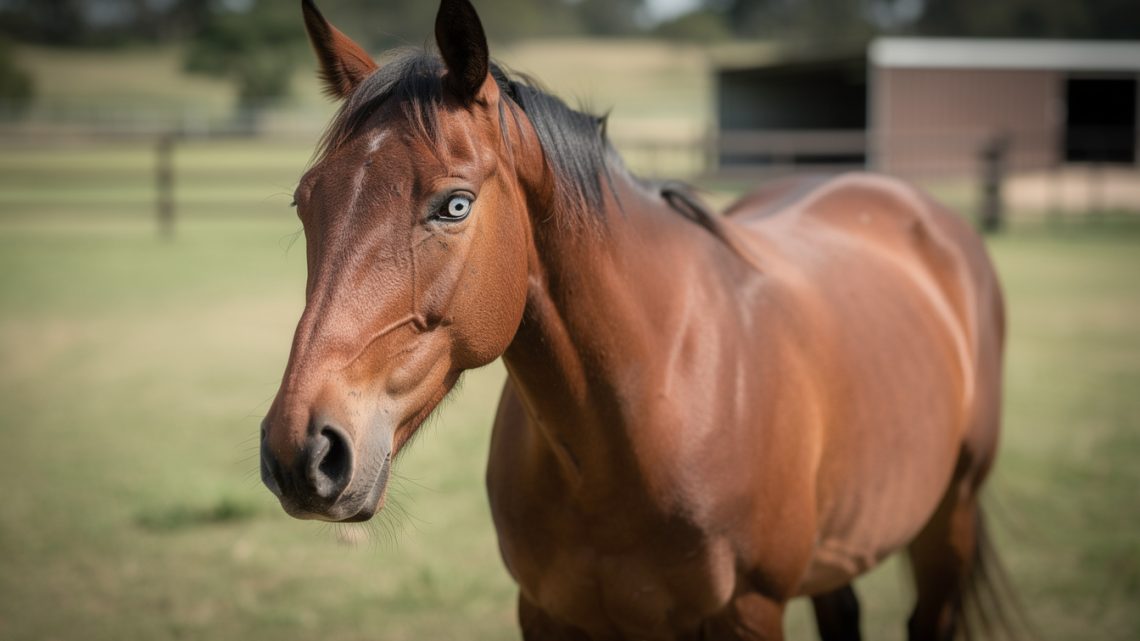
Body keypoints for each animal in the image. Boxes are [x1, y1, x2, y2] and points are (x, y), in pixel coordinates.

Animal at [259, 1, 1015, 639]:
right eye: (304, 200)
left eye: (454, 205)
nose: (302, 451)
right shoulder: (547, 614)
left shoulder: (749, 611)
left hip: (950, 520)